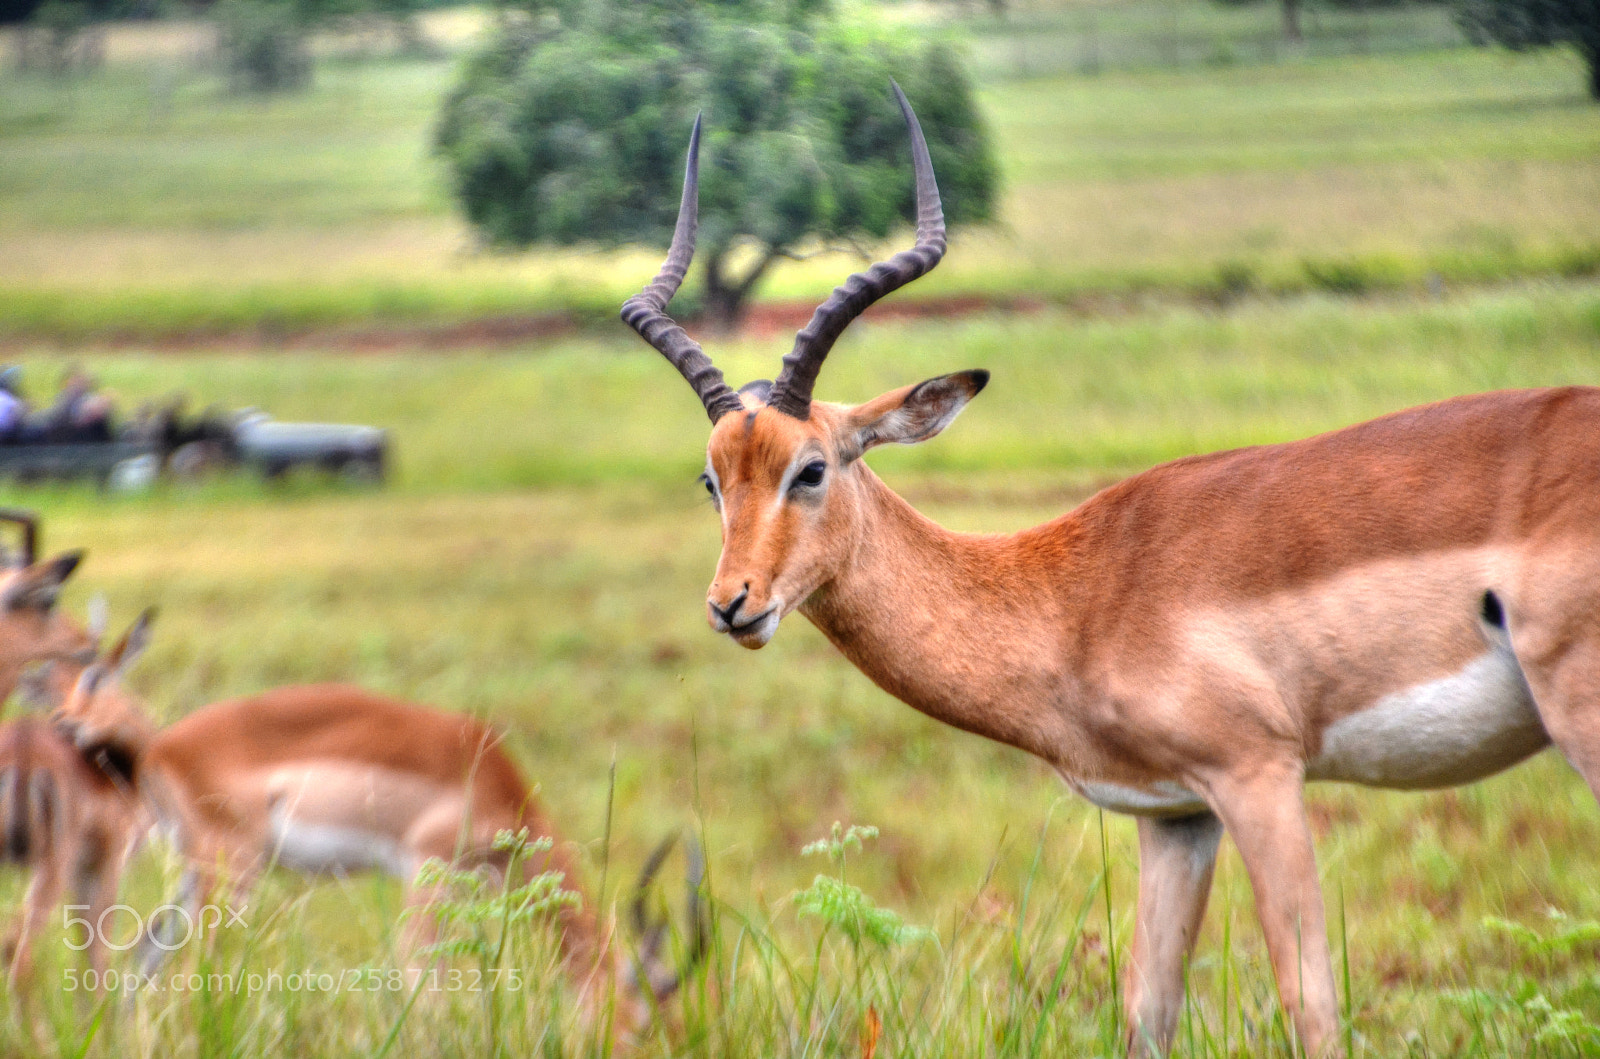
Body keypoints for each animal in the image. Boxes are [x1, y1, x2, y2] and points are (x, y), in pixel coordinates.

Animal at [49, 612, 703, 1034]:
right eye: (645, 1022)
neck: (495, 783)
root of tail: (157, 750)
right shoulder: (423, 871)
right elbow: (423, 984)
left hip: (194, 875)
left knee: (143, 955)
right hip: (231, 874)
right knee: (193, 972)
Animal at [621, 84, 1600, 1056]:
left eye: (811, 467)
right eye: (713, 479)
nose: (732, 604)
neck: (1076, 594)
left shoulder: (1259, 775)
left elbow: (1311, 1002)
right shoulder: (1174, 816)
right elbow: (1147, 1011)